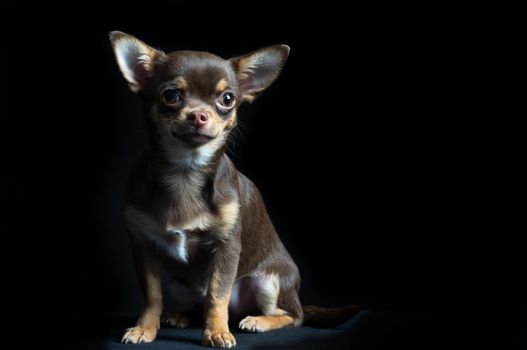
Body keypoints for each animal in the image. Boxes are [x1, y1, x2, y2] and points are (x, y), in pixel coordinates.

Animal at [110, 32, 358, 348]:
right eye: (171, 95)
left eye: (227, 99)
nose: (199, 115)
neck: (185, 171)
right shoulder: (142, 246)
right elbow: (152, 296)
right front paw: (144, 328)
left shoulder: (227, 248)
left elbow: (217, 295)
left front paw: (217, 331)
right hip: (179, 285)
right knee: (197, 304)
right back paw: (181, 316)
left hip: (268, 282)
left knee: (293, 316)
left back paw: (258, 321)